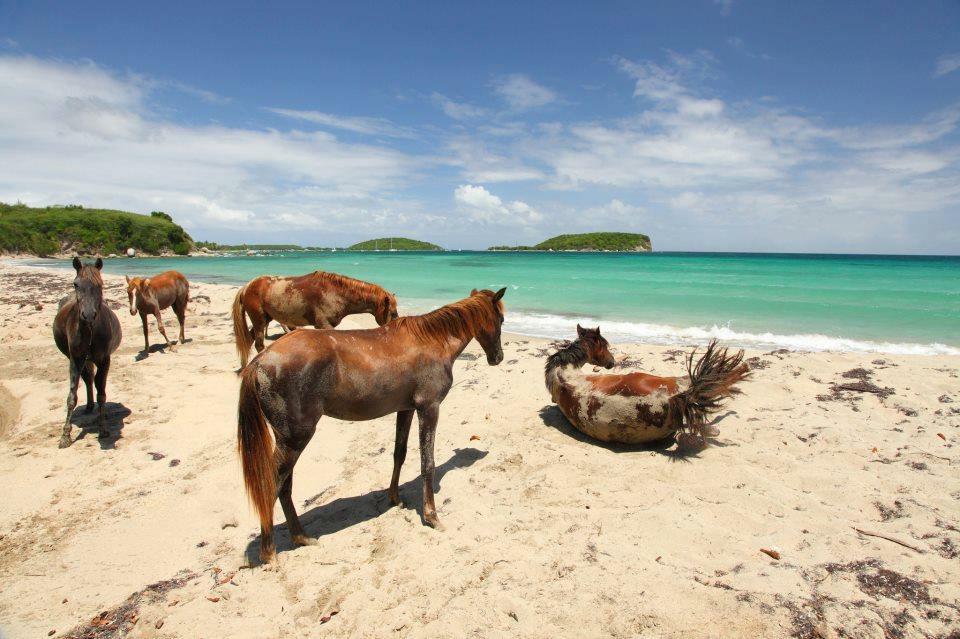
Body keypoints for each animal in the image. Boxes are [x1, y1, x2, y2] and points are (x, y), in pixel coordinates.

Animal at [53, 258, 122, 448]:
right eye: (76, 284)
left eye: (100, 284)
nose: (89, 315)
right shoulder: (75, 359)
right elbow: (71, 396)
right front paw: (65, 436)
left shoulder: (105, 360)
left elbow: (102, 393)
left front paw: (103, 429)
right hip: (82, 359)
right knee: (88, 378)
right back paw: (90, 406)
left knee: (92, 380)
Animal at [234, 270, 400, 368]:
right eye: (393, 313)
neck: (336, 293)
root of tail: (247, 287)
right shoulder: (323, 324)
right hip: (259, 321)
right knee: (259, 345)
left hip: (265, 320)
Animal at [238, 288, 510, 564]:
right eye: (500, 320)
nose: (498, 358)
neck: (433, 341)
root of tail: (259, 362)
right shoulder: (429, 408)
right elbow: (427, 464)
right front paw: (432, 516)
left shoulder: (406, 409)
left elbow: (399, 453)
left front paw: (395, 498)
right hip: (295, 439)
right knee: (272, 484)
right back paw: (269, 552)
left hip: (289, 440)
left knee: (285, 486)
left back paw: (301, 537)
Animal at [548, 324, 752, 444]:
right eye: (605, 346)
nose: (612, 362)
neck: (562, 368)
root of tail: (672, 400)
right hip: (676, 381)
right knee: (712, 383)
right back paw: (744, 367)